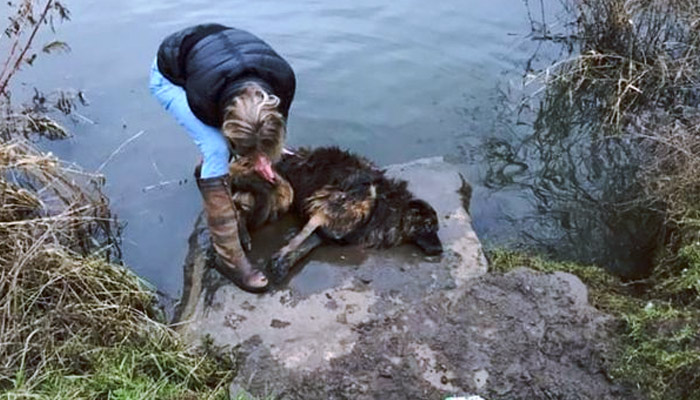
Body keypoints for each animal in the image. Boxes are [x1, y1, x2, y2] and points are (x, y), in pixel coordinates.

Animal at [232, 146, 446, 282]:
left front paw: (284, 262)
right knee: (237, 204)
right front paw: (281, 257)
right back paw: (242, 235)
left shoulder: (326, 227)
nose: (440, 250)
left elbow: (306, 246)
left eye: (435, 228)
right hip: (281, 192)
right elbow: (302, 237)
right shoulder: (329, 202)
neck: (387, 204)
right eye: (428, 226)